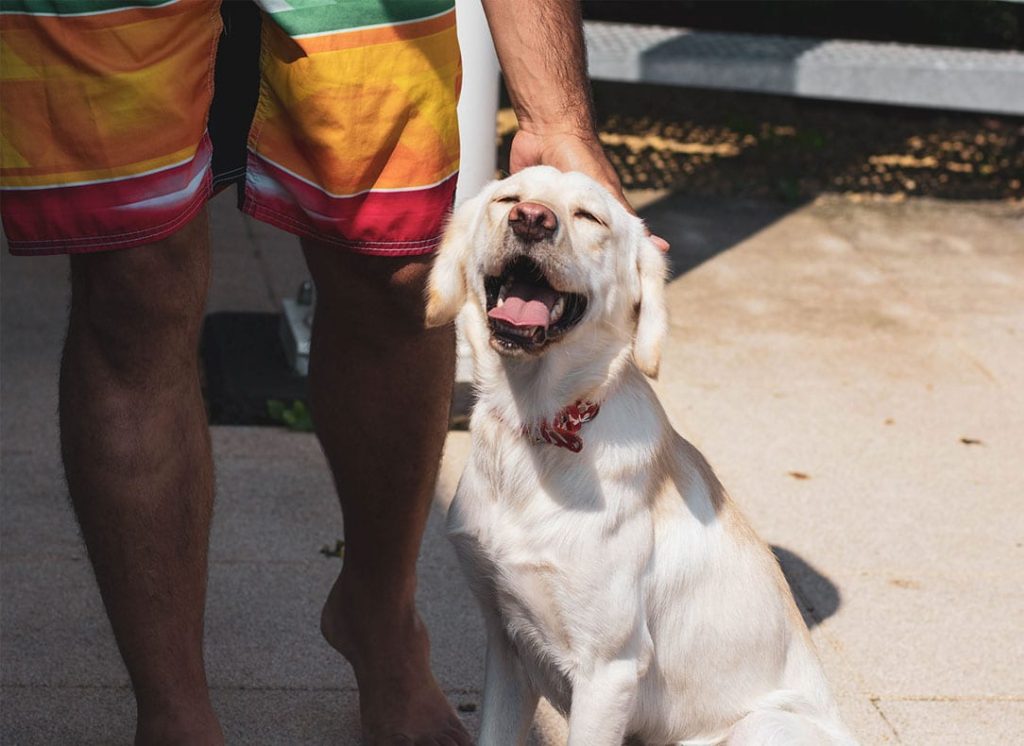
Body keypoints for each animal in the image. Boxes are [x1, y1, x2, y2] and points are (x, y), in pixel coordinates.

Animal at [423, 168, 856, 744]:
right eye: (507, 198)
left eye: (590, 217)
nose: (531, 219)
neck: (537, 427)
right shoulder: (507, 643)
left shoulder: (608, 670)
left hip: (760, 726)